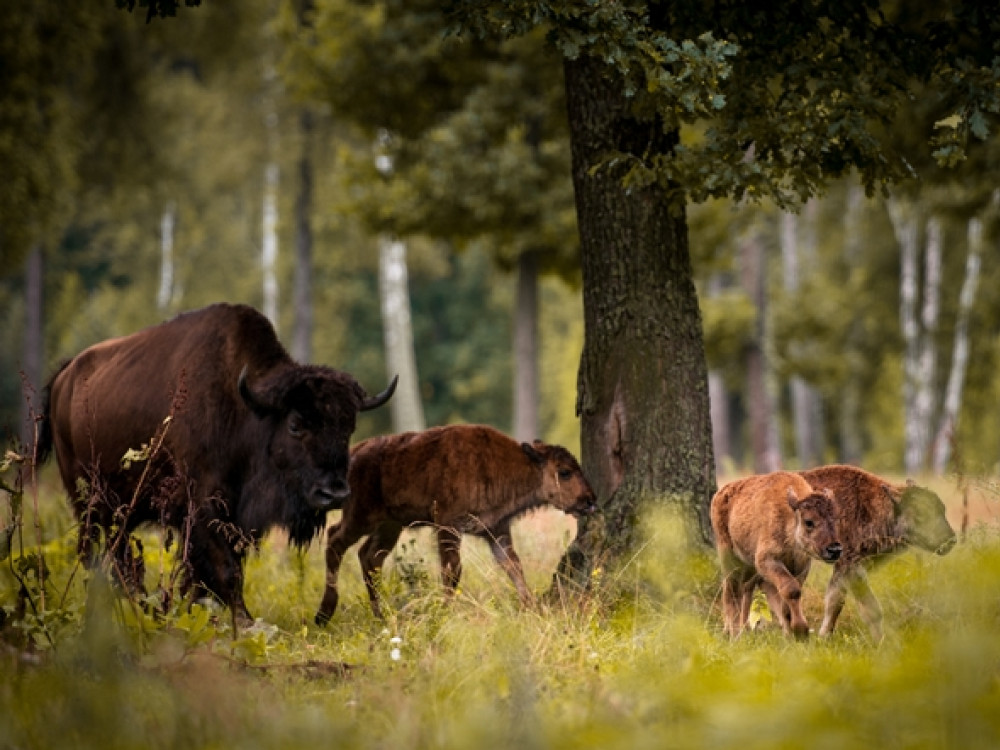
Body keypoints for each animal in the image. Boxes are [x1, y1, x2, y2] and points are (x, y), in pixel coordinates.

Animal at [39, 302, 398, 624]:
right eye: (296, 424)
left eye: (348, 426)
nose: (334, 493)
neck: (246, 411)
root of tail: (65, 376)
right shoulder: (202, 506)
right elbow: (226, 570)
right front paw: (244, 621)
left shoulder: (233, 517)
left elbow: (207, 573)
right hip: (87, 500)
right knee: (94, 554)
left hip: (121, 511)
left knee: (120, 558)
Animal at [314, 424, 592, 624]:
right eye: (564, 472)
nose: (590, 500)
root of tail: (356, 452)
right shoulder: (448, 527)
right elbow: (452, 571)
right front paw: (445, 612)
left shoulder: (497, 531)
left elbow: (513, 566)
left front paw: (531, 608)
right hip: (361, 517)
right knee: (335, 540)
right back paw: (324, 614)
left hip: (389, 525)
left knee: (369, 557)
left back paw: (380, 615)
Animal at [712, 470, 844, 640]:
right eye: (809, 521)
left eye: (837, 519)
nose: (834, 549)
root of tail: (720, 493)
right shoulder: (767, 560)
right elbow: (792, 591)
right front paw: (800, 630)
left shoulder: (801, 567)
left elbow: (786, 602)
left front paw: (792, 635)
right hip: (728, 555)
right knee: (731, 590)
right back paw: (735, 635)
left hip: (749, 565)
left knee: (745, 589)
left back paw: (741, 630)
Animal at [796, 464, 952, 640]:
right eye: (921, 513)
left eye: (942, 509)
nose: (950, 540)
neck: (869, 506)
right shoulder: (851, 567)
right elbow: (871, 610)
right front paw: (881, 642)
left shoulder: (845, 570)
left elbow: (834, 600)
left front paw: (824, 636)